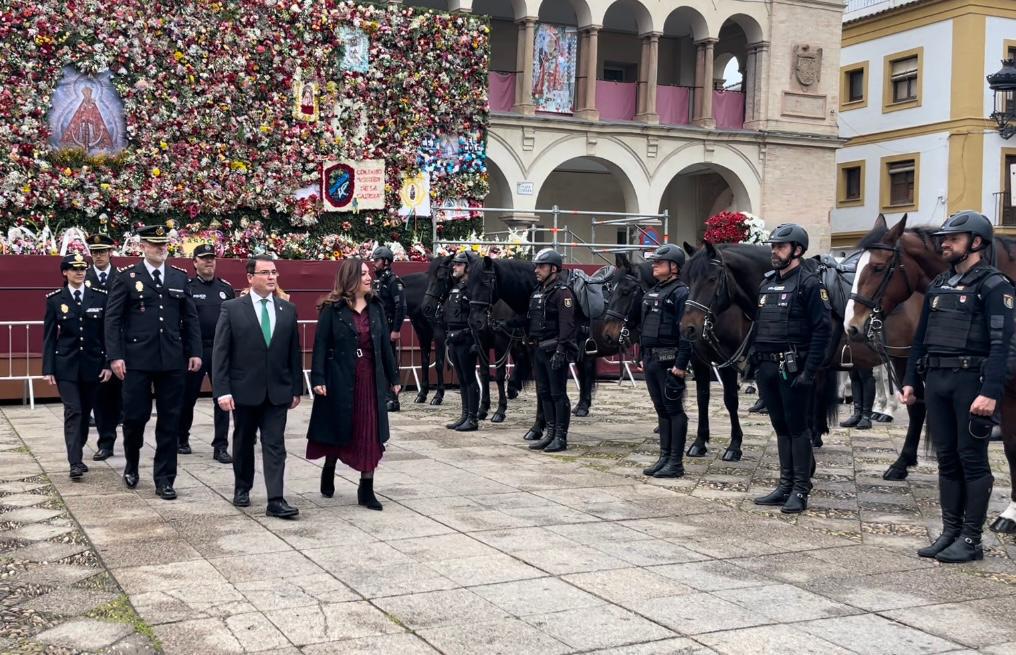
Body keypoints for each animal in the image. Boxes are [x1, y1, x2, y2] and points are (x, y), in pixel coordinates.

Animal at [420, 252, 528, 422]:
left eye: (441, 277)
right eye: (428, 277)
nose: (426, 307)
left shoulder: (500, 342)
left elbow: (499, 375)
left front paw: (500, 411)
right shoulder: (481, 342)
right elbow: (483, 374)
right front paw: (483, 409)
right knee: (521, 356)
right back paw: (512, 387)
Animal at [597, 250, 751, 459]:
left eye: (626, 292)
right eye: (610, 290)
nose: (608, 334)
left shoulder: (726, 361)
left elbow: (730, 400)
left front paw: (734, 445)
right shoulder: (697, 360)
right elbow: (702, 398)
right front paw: (699, 442)